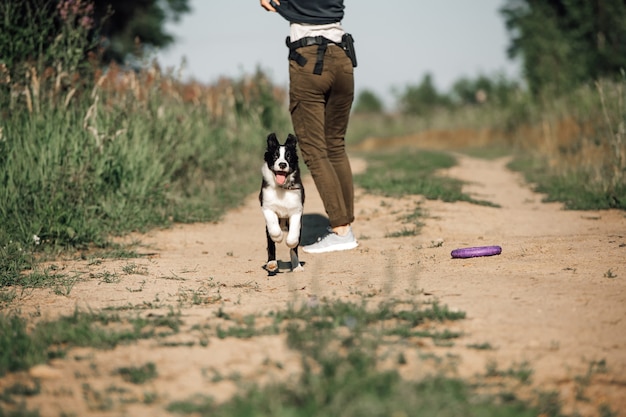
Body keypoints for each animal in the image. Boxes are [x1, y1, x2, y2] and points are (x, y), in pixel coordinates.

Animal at [258, 133, 304, 274]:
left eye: (288, 156)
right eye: (275, 156)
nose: (283, 164)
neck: (281, 188)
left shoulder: (296, 209)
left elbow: (293, 238)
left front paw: (290, 242)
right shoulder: (267, 206)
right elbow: (273, 229)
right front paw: (278, 237)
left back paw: (296, 266)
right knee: (270, 244)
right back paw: (272, 264)